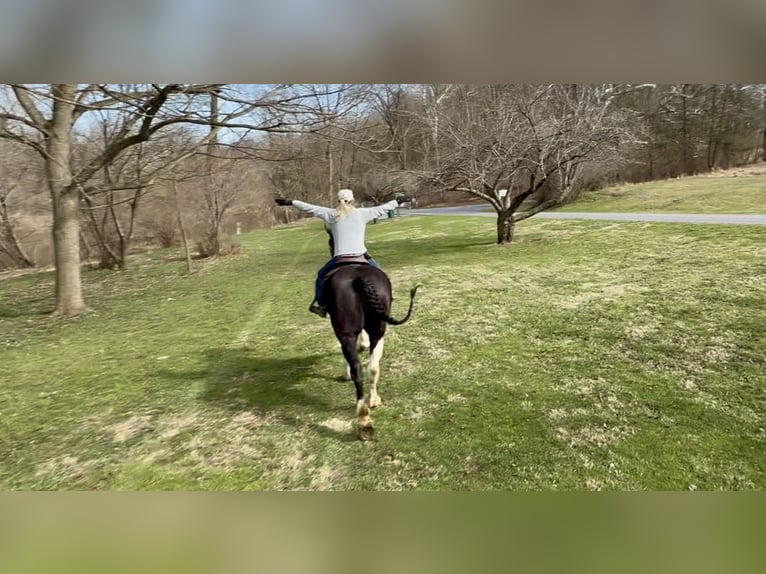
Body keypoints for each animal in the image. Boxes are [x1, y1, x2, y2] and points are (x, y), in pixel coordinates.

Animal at [322, 259, 419, 440]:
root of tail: (358, 279)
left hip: (347, 332)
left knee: (358, 368)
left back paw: (363, 413)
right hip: (378, 328)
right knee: (372, 367)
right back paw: (369, 409)